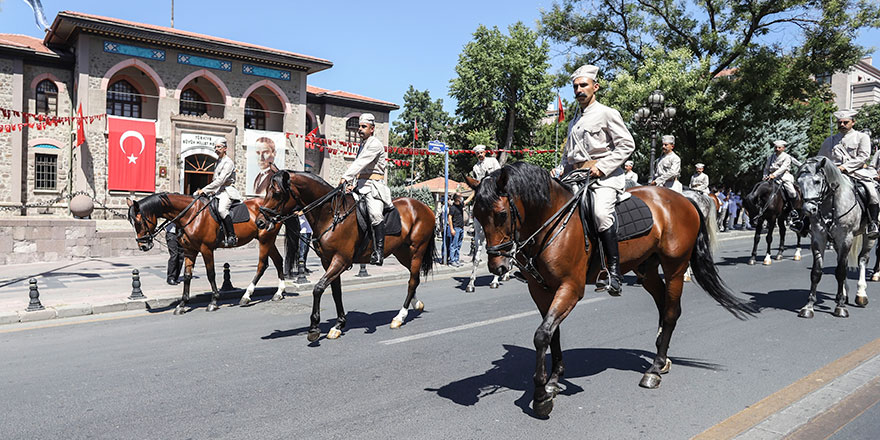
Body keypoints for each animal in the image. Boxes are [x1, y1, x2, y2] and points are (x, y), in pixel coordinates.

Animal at [127, 192, 288, 312]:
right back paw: (279, 292)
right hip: (268, 240)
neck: (191, 214)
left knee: (261, 265)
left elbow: (211, 274)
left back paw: (246, 296)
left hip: (265, 240)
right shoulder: (189, 251)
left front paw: (214, 301)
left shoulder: (206, 249)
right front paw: (182, 304)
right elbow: (187, 276)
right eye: (131, 222)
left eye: (139, 222)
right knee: (278, 260)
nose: (143, 246)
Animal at [253, 170, 434, 342]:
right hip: (402, 253)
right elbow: (336, 292)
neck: (330, 214)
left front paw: (314, 329)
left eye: (277, 193)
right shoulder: (328, 261)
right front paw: (339, 324)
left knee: (413, 280)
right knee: (414, 277)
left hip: (417, 251)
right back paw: (416, 303)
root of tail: (425, 208)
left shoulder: (340, 260)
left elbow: (318, 288)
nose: (259, 222)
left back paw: (399, 317)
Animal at [464, 163, 752, 418]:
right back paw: (662, 357)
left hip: (675, 269)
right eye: (476, 214)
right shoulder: (541, 290)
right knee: (663, 306)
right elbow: (551, 333)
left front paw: (541, 396)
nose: (498, 266)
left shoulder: (571, 288)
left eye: (501, 214)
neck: (553, 222)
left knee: (671, 312)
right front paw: (554, 379)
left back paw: (655, 369)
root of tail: (684, 199)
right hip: (647, 271)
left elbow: (542, 334)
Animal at [796, 156, 872, 318]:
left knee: (862, 259)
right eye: (798, 183)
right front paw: (809, 306)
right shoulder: (819, 238)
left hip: (869, 236)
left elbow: (841, 271)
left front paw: (841, 306)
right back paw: (843, 293)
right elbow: (817, 272)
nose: (808, 210)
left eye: (817, 181)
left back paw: (861, 294)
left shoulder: (846, 238)